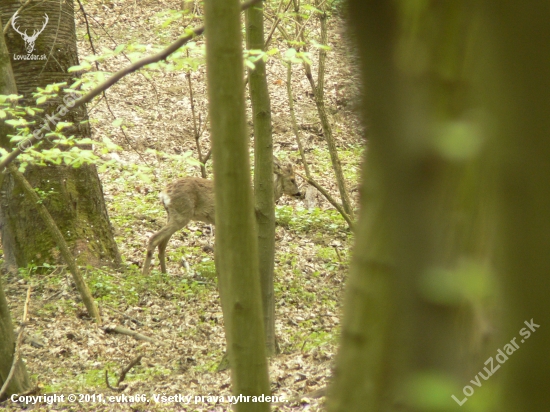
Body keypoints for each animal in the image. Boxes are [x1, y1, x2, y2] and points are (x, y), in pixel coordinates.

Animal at [143, 158, 302, 274]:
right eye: (292, 179)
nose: (299, 193)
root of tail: (164, 193)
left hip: (173, 215)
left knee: (162, 243)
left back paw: (164, 273)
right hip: (182, 214)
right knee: (154, 239)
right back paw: (145, 275)